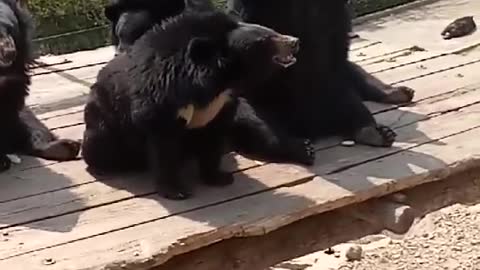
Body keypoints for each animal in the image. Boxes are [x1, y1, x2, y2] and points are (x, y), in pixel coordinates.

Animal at [81, 10, 316, 199]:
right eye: (267, 39)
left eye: (271, 31)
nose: (295, 41)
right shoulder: (159, 102)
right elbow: (164, 146)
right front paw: (177, 191)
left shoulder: (221, 105)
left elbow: (213, 138)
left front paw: (219, 177)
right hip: (105, 123)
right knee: (99, 146)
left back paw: (304, 149)